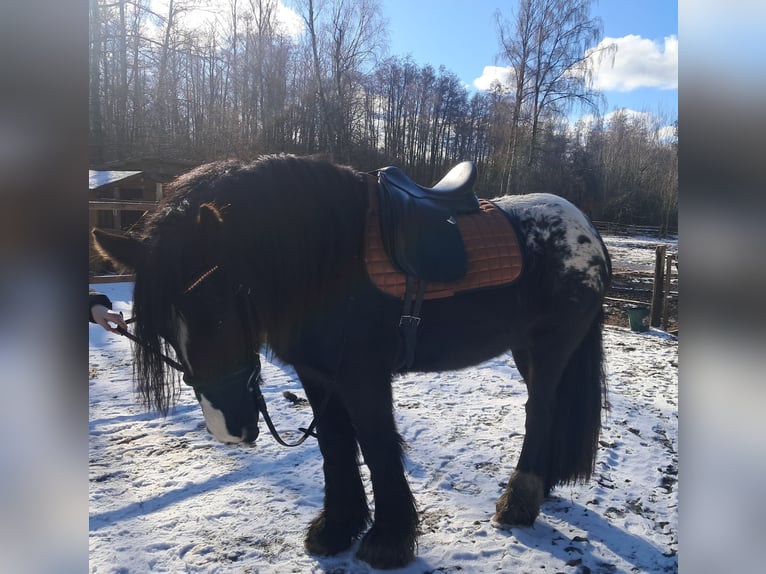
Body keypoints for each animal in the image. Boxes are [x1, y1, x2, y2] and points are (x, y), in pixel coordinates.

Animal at [92, 154, 611, 570]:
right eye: (166, 330)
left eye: (219, 313)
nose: (229, 430)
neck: (325, 261)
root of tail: (587, 229)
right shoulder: (317, 375)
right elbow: (336, 447)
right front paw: (337, 529)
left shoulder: (363, 377)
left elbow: (378, 447)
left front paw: (388, 542)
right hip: (525, 350)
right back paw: (542, 488)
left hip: (549, 348)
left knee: (540, 411)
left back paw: (519, 502)